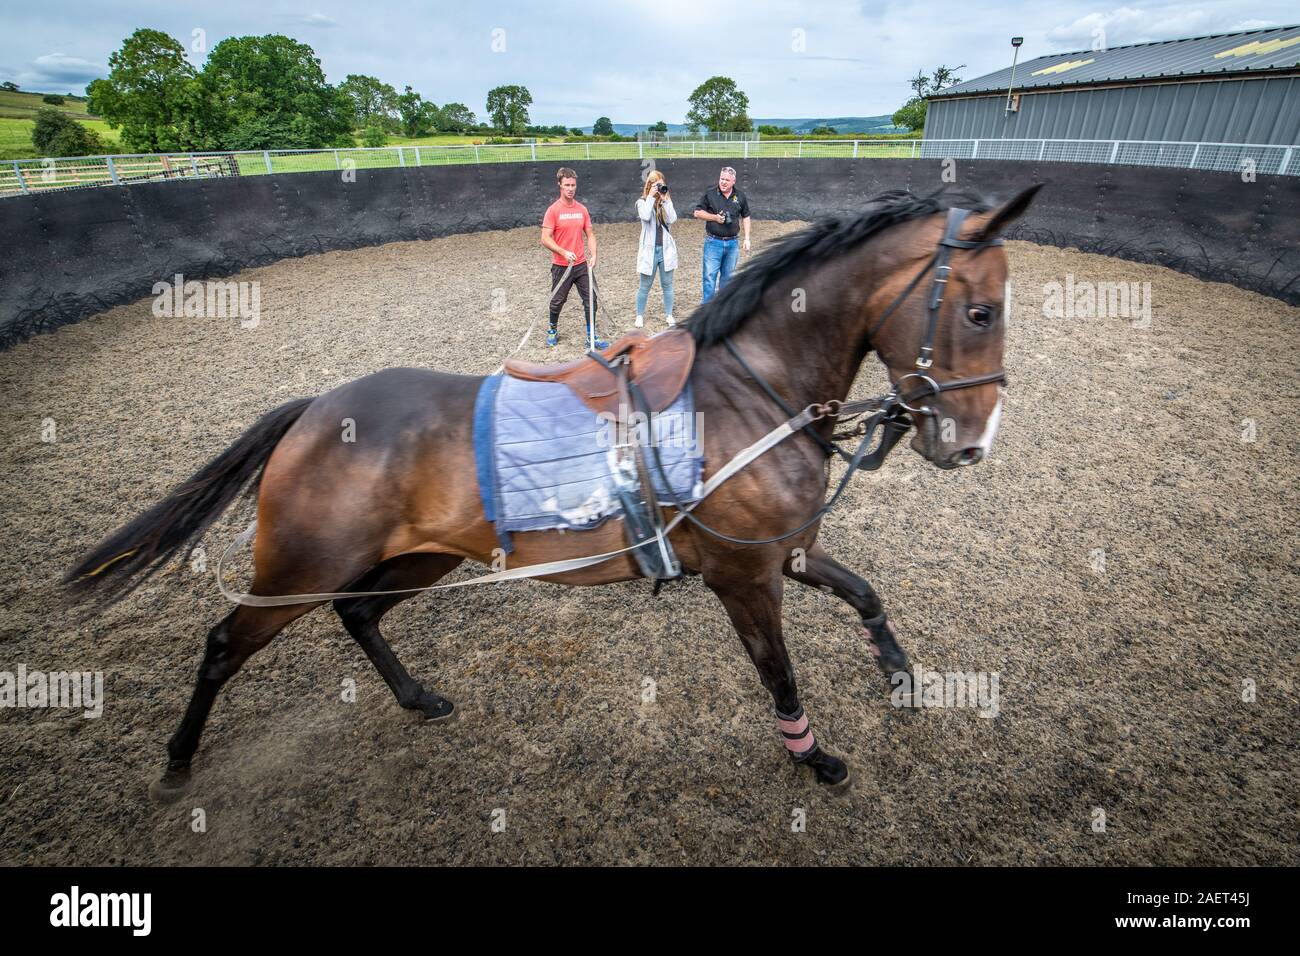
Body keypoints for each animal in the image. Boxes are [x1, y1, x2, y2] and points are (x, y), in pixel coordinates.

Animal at [63, 184, 1041, 801]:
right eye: (980, 311)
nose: (972, 442)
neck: (751, 390)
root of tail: (314, 410)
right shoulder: (744, 576)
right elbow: (779, 672)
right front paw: (814, 757)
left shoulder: (787, 549)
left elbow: (864, 593)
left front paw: (900, 670)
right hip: (298, 569)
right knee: (225, 645)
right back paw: (178, 761)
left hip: (416, 557)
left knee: (358, 614)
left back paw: (417, 699)